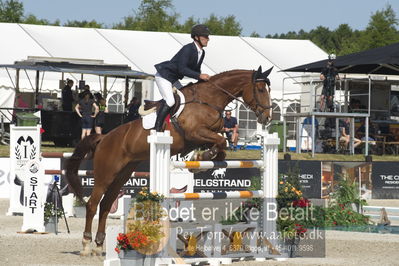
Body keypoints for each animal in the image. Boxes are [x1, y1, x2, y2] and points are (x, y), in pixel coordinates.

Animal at [65, 66, 276, 256]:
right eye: (260, 89)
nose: (267, 117)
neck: (209, 100)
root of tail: (104, 138)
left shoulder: (207, 135)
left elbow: (222, 146)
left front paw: (201, 159)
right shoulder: (195, 132)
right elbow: (221, 141)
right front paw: (202, 158)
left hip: (122, 175)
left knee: (106, 205)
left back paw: (99, 245)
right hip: (106, 174)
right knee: (93, 205)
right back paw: (86, 245)